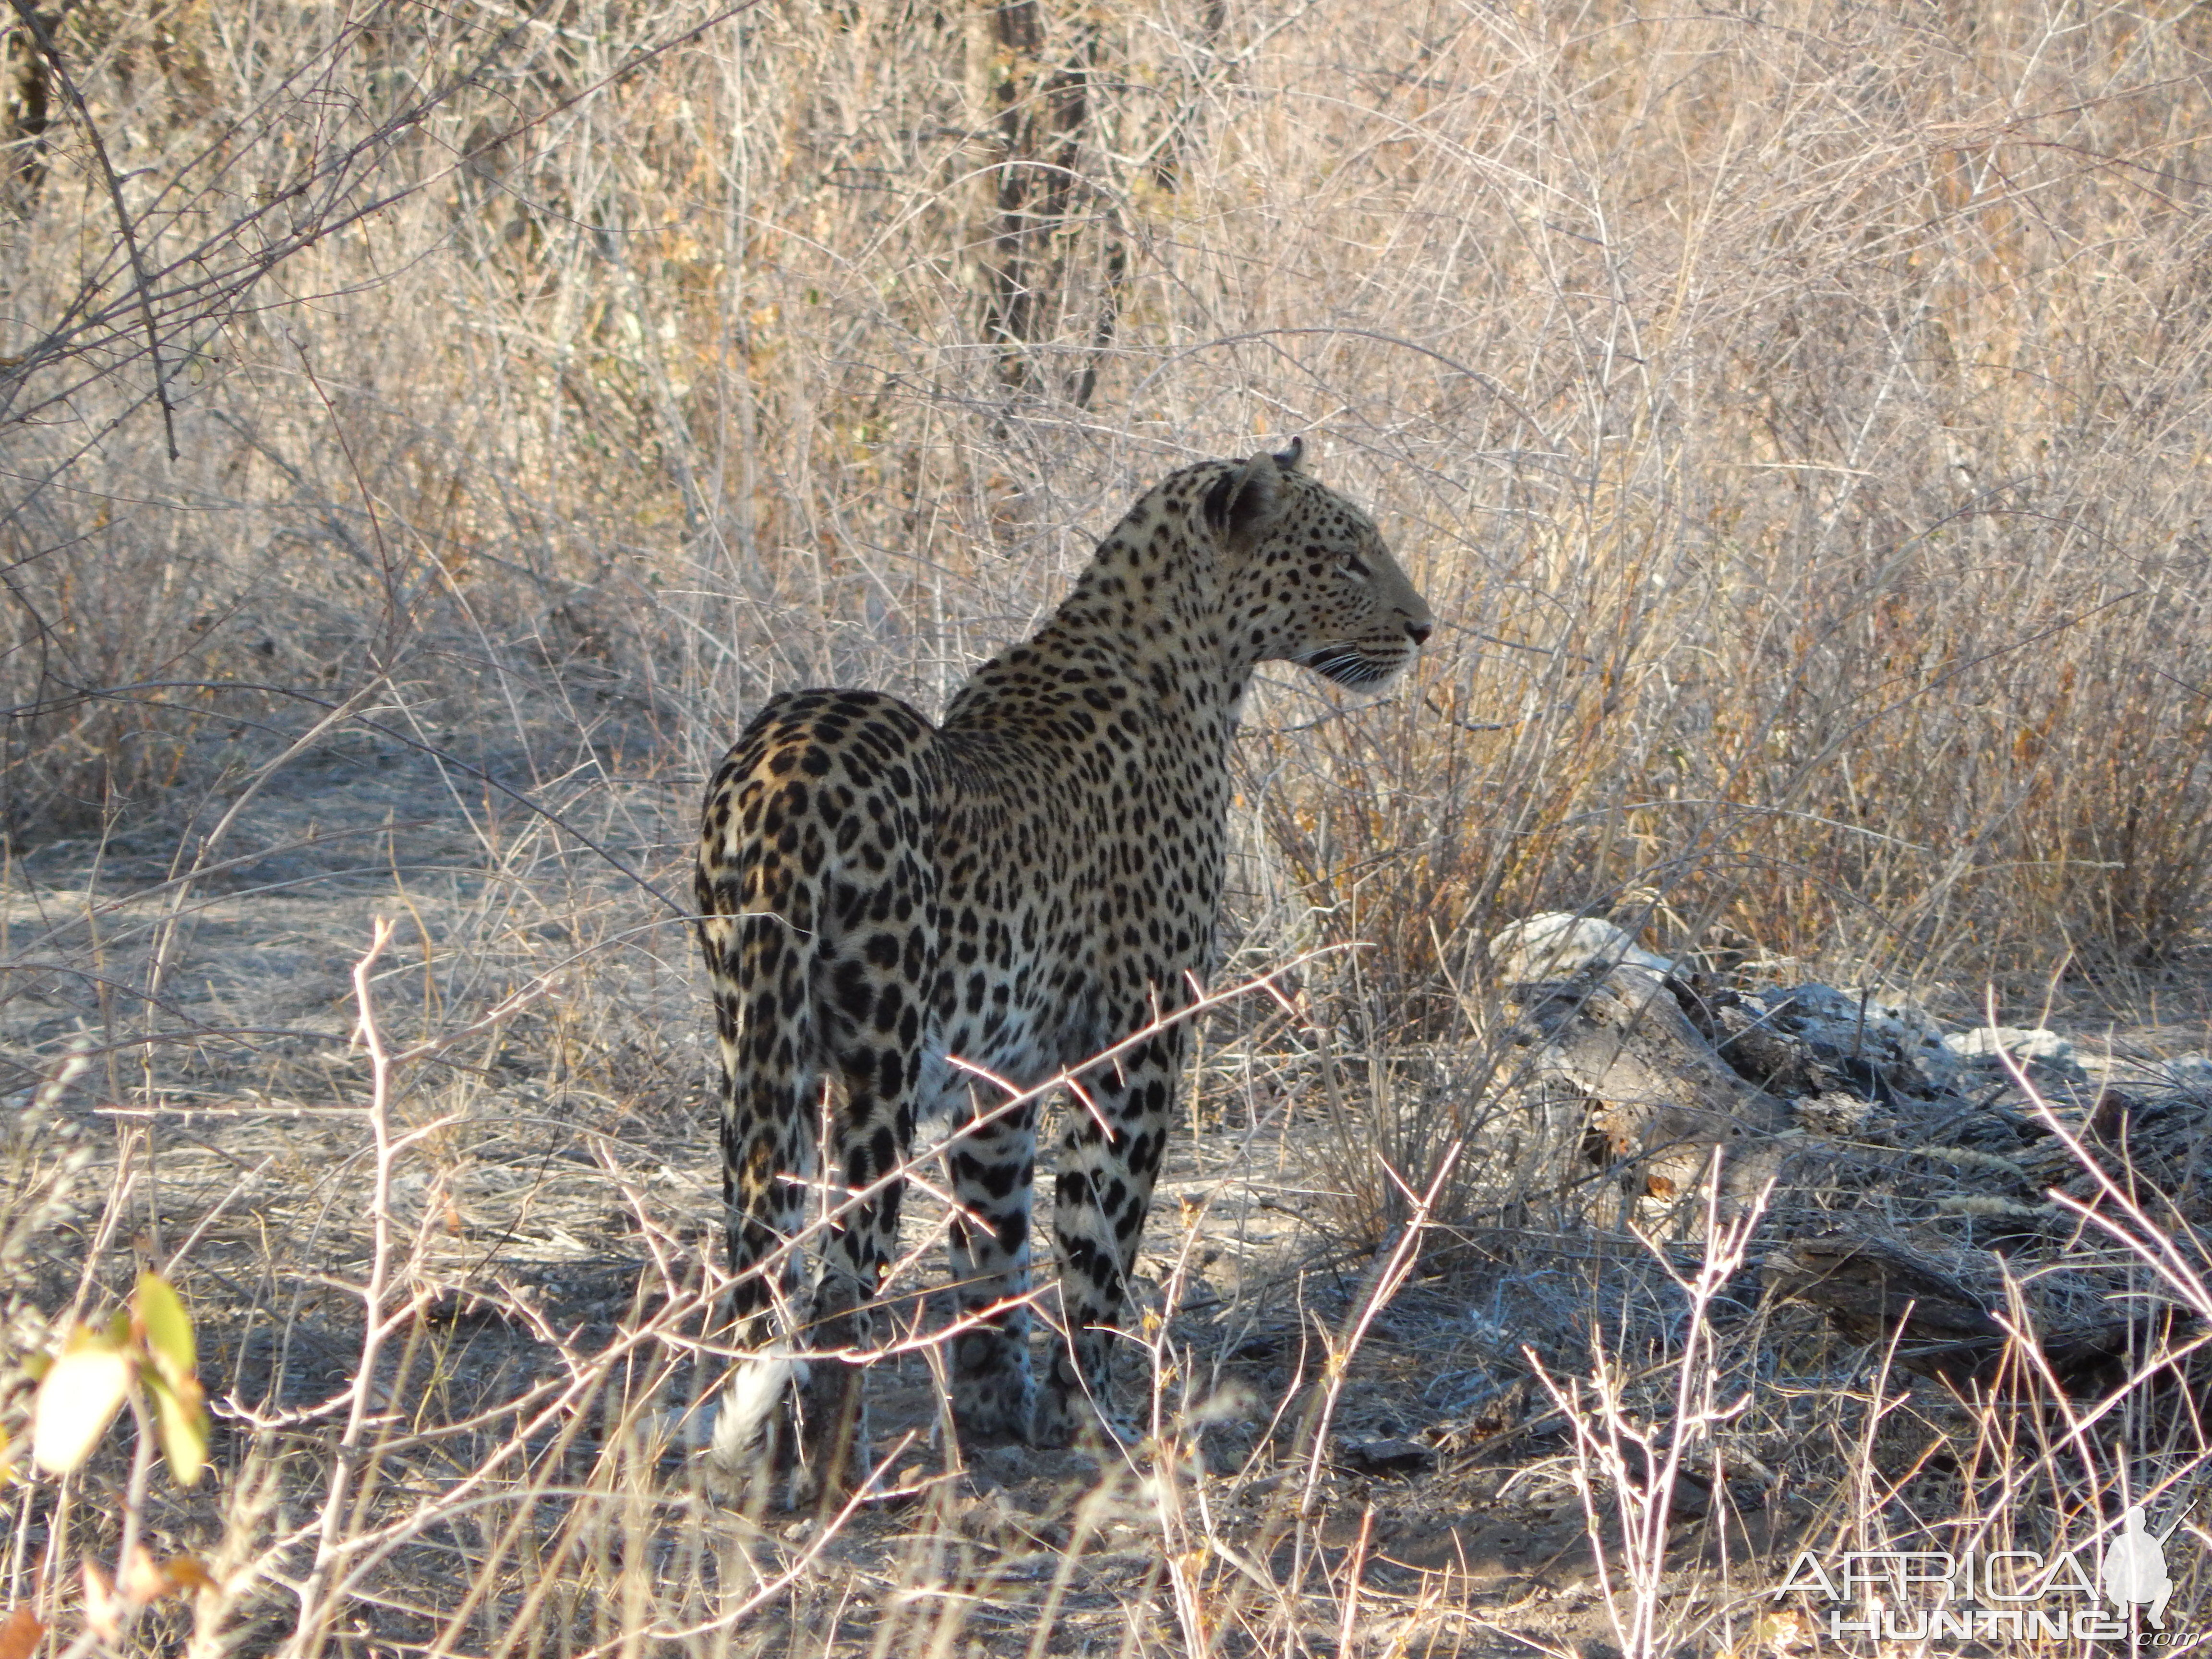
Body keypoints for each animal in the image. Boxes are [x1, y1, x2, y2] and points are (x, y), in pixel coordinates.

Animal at [699, 442, 1442, 1504]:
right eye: (1344, 560)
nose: (1422, 628)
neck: (1194, 662)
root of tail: (785, 771)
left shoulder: (998, 1073)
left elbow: (995, 1242)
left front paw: (996, 1405)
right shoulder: (1138, 1043)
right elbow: (1101, 1238)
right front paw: (1092, 1417)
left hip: (758, 1050)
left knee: (759, 1261)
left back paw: (756, 1468)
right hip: (878, 1061)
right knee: (843, 1277)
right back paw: (834, 1473)